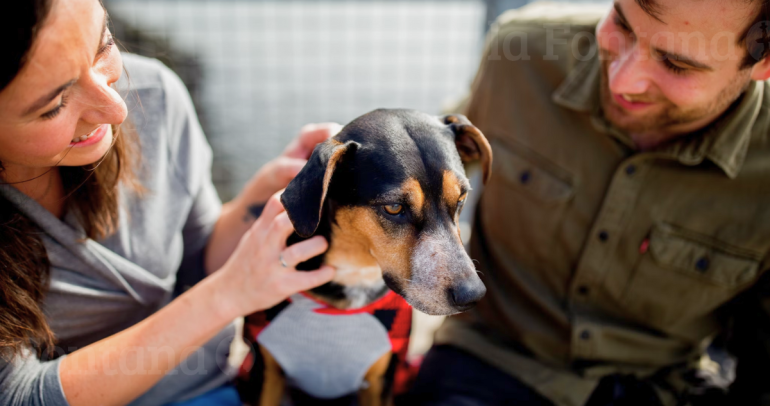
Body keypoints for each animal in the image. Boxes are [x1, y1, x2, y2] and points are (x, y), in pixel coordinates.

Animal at [240, 109, 492, 406]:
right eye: (393, 207)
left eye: (461, 199)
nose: (472, 294)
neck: (357, 273)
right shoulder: (265, 374)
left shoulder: (381, 379)